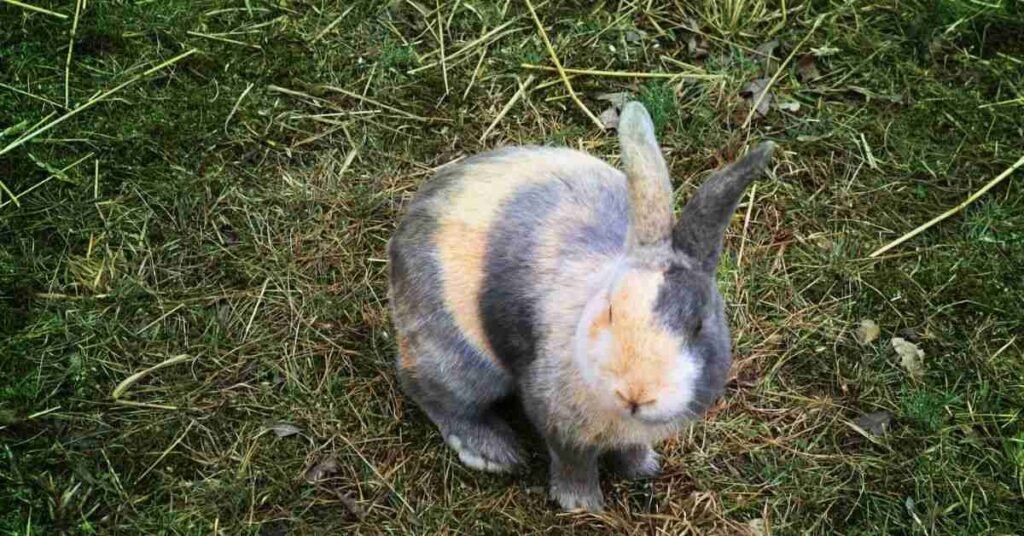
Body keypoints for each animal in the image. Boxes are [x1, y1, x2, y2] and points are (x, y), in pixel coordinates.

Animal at [388, 101, 774, 512]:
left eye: (699, 325)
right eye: (610, 310)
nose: (636, 393)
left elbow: (631, 448)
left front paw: (642, 468)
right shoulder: (557, 418)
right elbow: (573, 461)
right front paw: (581, 504)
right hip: (458, 357)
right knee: (432, 392)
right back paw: (493, 452)